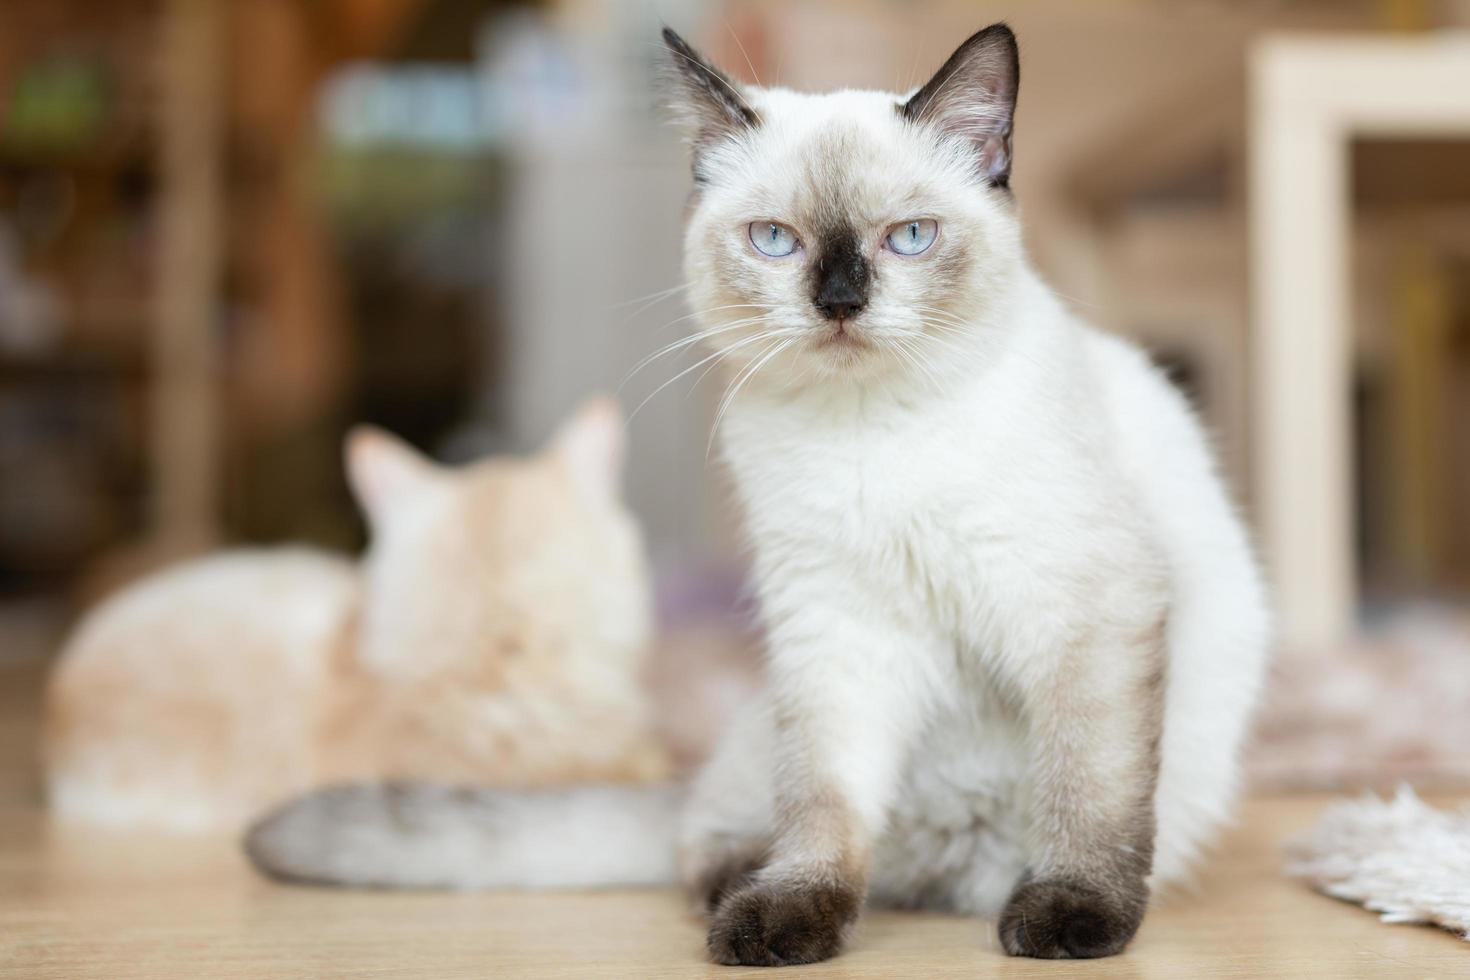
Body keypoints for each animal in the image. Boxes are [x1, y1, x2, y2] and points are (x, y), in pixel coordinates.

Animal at [246, 22, 1270, 963]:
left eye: (910, 238)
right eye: (776, 241)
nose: (841, 301)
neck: (872, 435)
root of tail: (947, 876)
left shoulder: (1085, 612)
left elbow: (1084, 788)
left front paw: (1069, 921)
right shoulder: (837, 634)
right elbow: (824, 810)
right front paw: (787, 920)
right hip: (774, 719)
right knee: (718, 836)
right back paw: (743, 889)